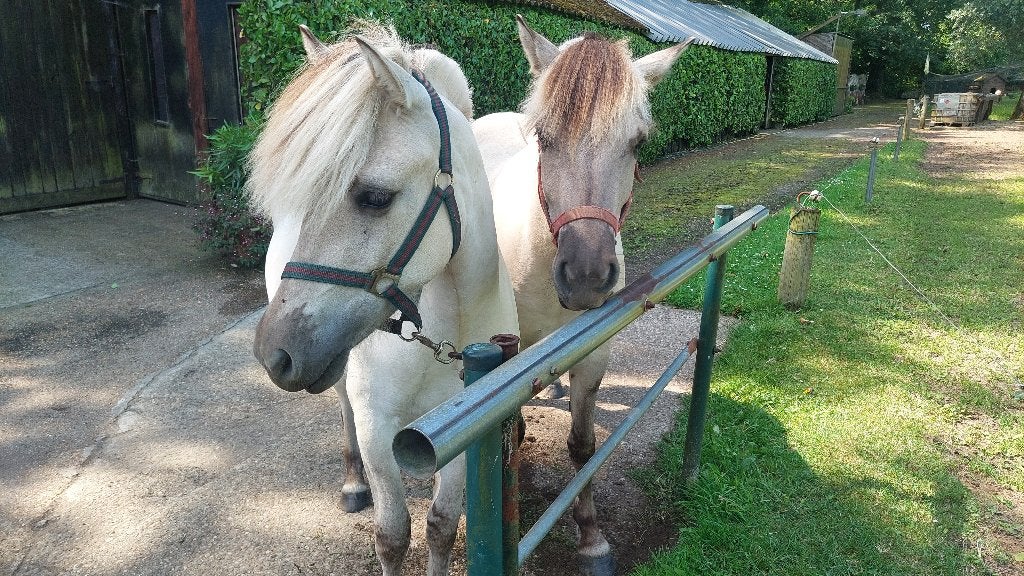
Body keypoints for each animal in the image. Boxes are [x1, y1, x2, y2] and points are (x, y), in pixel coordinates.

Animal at [248, 23, 518, 576]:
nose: (274, 354)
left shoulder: (463, 427)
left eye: (375, 197)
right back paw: (353, 484)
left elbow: (441, 525)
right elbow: (393, 536)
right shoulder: (377, 428)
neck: (448, 329)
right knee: (343, 410)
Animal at [471, 16, 691, 573]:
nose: (588, 276)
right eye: (545, 139)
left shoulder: (594, 355)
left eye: (637, 143)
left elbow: (583, 445)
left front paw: (591, 536)